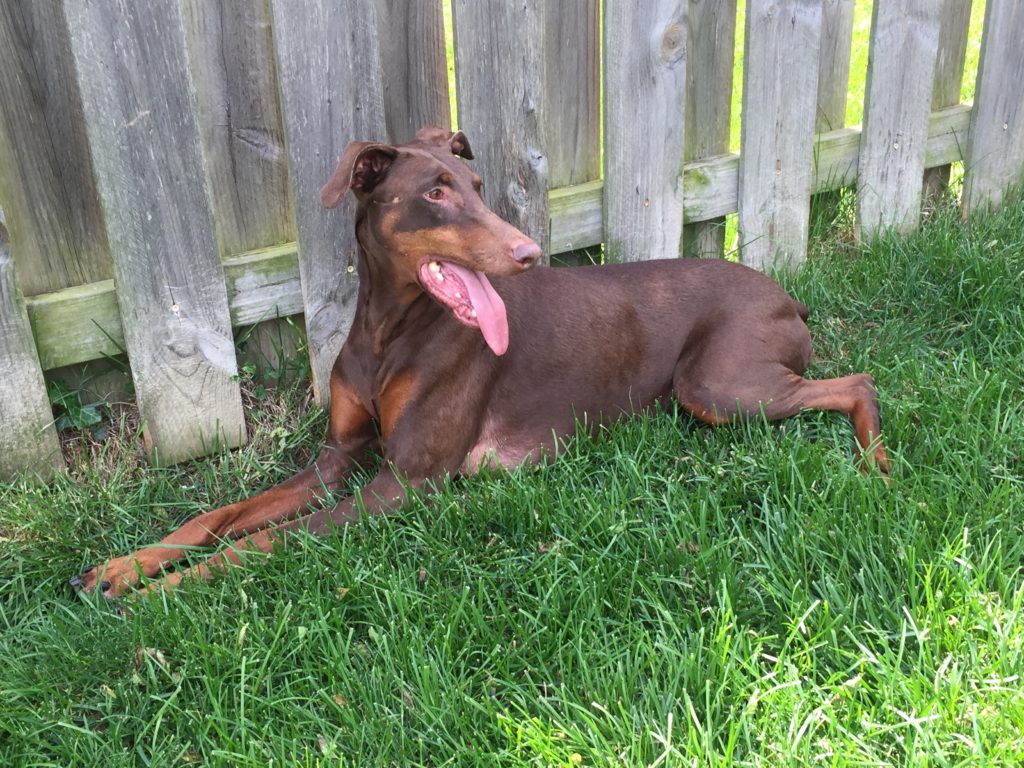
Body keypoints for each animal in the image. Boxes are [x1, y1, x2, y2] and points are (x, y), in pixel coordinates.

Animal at [74, 124, 888, 602]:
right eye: (435, 191)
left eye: (474, 187)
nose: (528, 254)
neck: (389, 331)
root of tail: (787, 295)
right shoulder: (338, 459)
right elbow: (220, 517)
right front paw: (126, 566)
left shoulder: (404, 483)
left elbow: (261, 542)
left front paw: (153, 596)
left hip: (715, 382)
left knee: (857, 381)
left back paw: (877, 466)